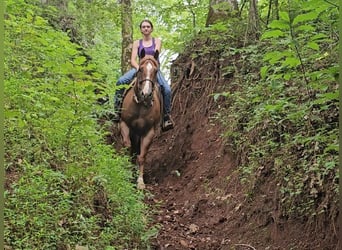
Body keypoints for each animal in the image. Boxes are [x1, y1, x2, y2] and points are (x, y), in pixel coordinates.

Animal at [120, 48, 163, 189]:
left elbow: (142, 156)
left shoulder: (149, 132)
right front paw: (127, 172)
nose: (146, 94)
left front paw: (140, 181)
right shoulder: (124, 124)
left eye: (156, 71)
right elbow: (128, 148)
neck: (140, 105)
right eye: (140, 69)